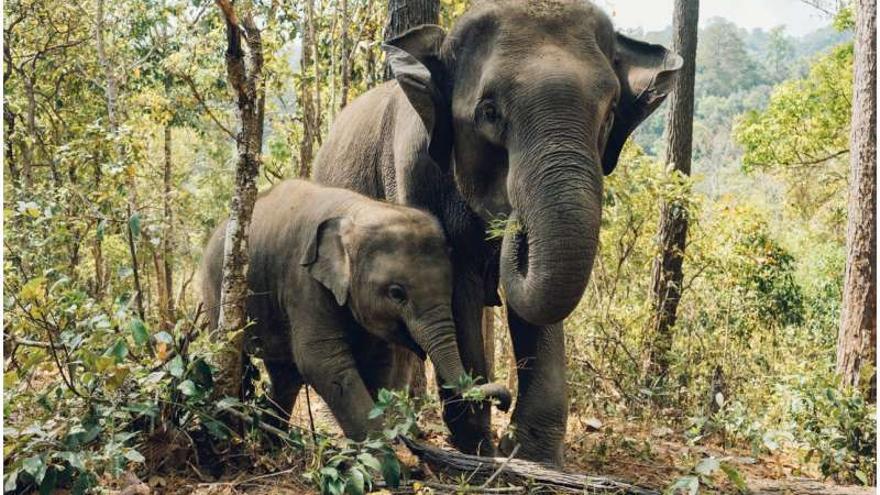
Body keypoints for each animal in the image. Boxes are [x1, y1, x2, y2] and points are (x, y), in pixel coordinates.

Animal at [201, 179, 508, 442]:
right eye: (396, 293)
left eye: (450, 286)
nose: (504, 401)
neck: (357, 211)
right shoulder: (304, 283)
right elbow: (322, 361)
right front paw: (387, 460)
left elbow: (379, 362)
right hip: (216, 292)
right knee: (235, 356)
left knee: (285, 375)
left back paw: (273, 441)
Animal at [312, 0, 684, 464]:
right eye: (488, 112)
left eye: (611, 113)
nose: (512, 222)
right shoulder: (414, 172)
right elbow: (457, 289)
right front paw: (479, 447)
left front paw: (532, 455)